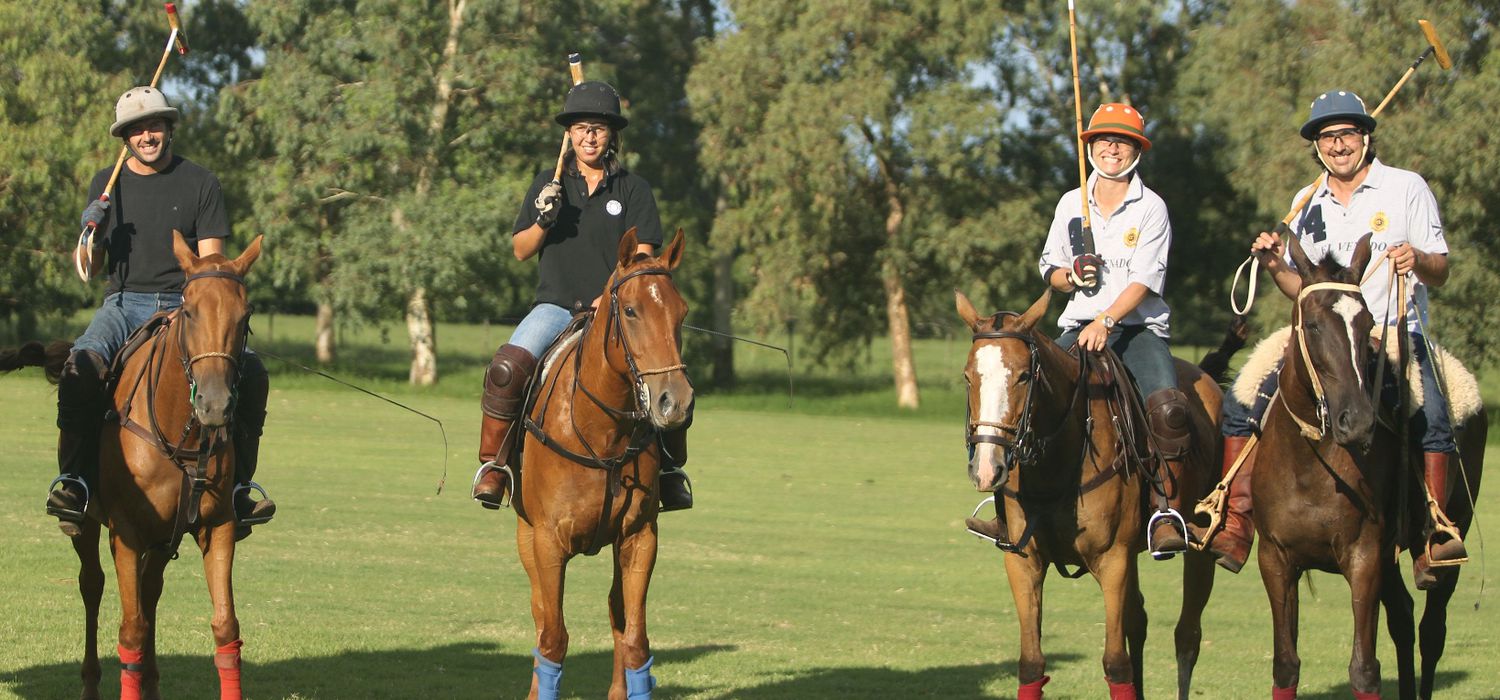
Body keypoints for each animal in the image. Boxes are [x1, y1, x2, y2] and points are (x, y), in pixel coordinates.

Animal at [0, 235, 262, 700]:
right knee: (93, 586)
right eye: (189, 310)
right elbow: (131, 630)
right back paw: (90, 683)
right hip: (90, 525)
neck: (181, 433)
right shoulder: (125, 531)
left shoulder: (218, 526)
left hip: (163, 536)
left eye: (245, 314)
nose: (214, 404)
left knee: (150, 590)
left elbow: (225, 626)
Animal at [510, 227, 687, 698]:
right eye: (630, 310)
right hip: (524, 532)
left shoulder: (640, 537)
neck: (605, 434)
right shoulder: (548, 540)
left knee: (616, 614)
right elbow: (553, 636)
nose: (676, 401)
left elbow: (636, 638)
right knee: (540, 615)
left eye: (682, 313)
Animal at [954, 287, 1224, 698]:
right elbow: (1031, 663)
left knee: (1187, 635)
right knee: (1138, 620)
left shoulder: (1113, 559)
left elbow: (1115, 663)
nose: (987, 468)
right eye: (969, 377)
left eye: (1023, 376)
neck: (1055, 466)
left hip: (1199, 542)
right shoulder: (1023, 561)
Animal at [1248, 236, 1482, 700]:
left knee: (1431, 629)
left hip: (1451, 532)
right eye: (1312, 324)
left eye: (1368, 323)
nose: (1356, 421)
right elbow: (1286, 665)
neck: (1310, 464)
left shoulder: (1364, 557)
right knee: (1404, 619)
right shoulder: (1275, 558)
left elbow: (1364, 669)